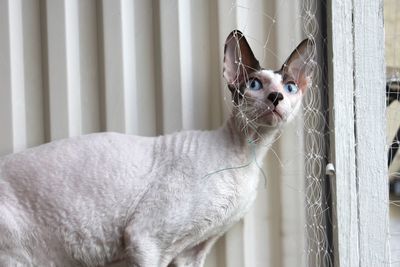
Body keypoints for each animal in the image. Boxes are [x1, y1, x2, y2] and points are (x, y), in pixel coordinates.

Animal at [0, 30, 314, 266]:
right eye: (254, 84)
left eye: (290, 88)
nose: (276, 97)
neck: (248, 155)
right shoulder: (145, 239)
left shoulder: (192, 251)